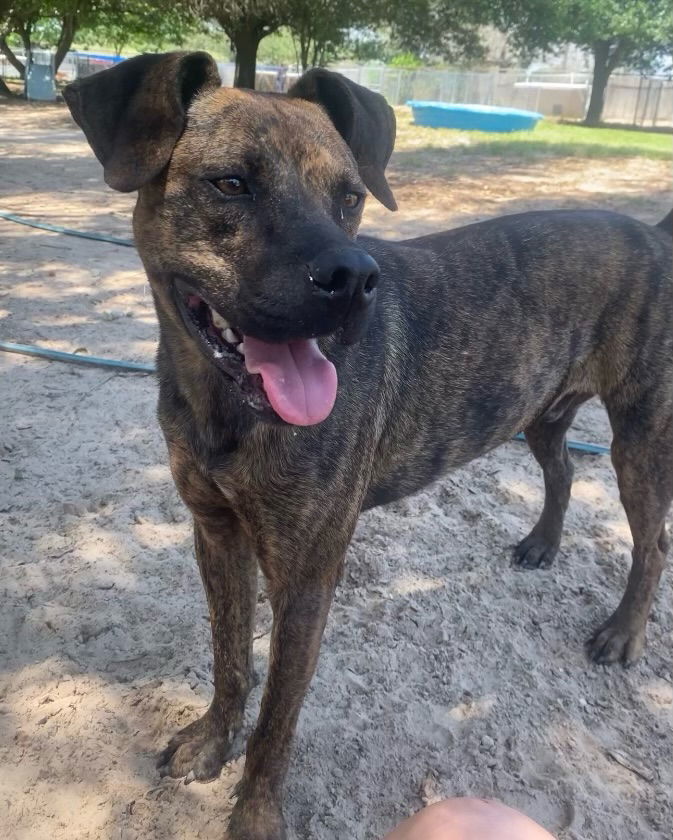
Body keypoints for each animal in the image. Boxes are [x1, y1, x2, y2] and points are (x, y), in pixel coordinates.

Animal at [63, 54, 668, 840]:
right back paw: (542, 543)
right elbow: (230, 659)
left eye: (350, 197)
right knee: (563, 468)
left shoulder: (307, 577)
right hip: (539, 408)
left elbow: (277, 716)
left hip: (639, 436)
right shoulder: (216, 535)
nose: (353, 279)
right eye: (230, 183)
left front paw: (255, 812)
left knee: (652, 541)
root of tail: (655, 236)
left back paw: (623, 634)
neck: (226, 407)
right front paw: (211, 740)